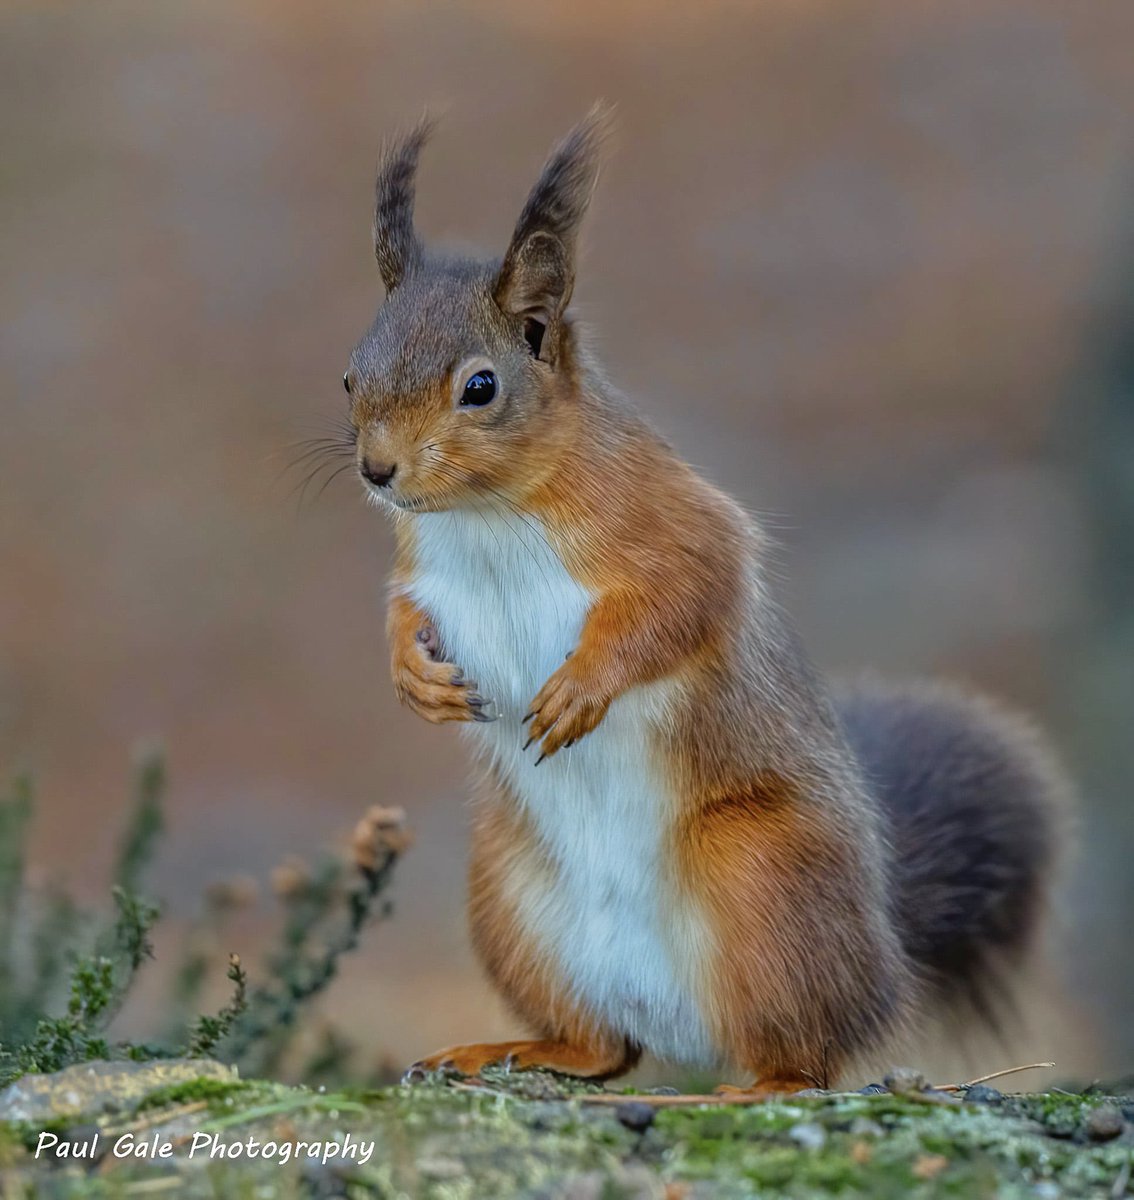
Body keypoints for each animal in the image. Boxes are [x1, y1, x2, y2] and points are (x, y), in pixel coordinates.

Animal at [341, 109, 1071, 1095]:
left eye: (480, 387)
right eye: (350, 375)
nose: (378, 470)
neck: (486, 517)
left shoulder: (677, 526)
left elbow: (686, 598)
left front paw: (581, 690)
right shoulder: (425, 572)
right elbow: (398, 613)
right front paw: (414, 680)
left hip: (761, 882)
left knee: (807, 1056)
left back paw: (751, 1085)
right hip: (511, 896)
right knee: (603, 1047)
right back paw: (511, 1047)